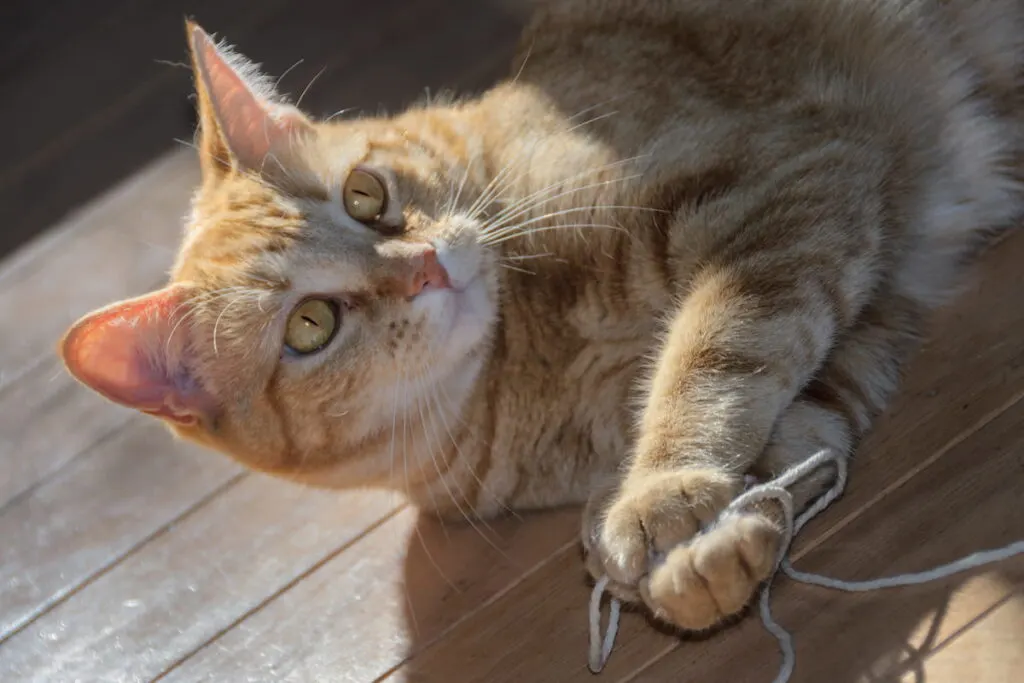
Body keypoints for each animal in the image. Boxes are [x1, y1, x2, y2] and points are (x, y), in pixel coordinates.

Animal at [59, 0, 1019, 634]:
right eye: (310, 327)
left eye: (366, 195)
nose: (426, 268)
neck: (531, 363)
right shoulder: (857, 303)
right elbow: (798, 426)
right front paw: (704, 554)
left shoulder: (788, 182)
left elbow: (714, 355)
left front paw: (661, 493)